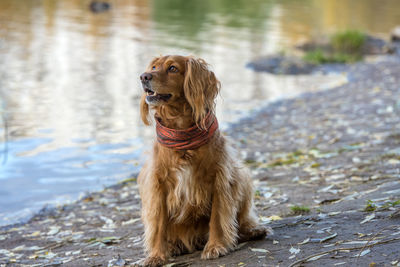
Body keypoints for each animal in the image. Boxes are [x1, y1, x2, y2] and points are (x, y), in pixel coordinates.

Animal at [138, 55, 272, 266]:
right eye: (153, 67)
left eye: (173, 68)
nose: (144, 76)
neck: (182, 132)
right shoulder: (158, 184)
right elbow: (158, 224)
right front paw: (156, 255)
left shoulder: (219, 178)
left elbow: (217, 217)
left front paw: (215, 246)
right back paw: (173, 247)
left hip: (241, 177)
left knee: (241, 219)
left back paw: (252, 230)